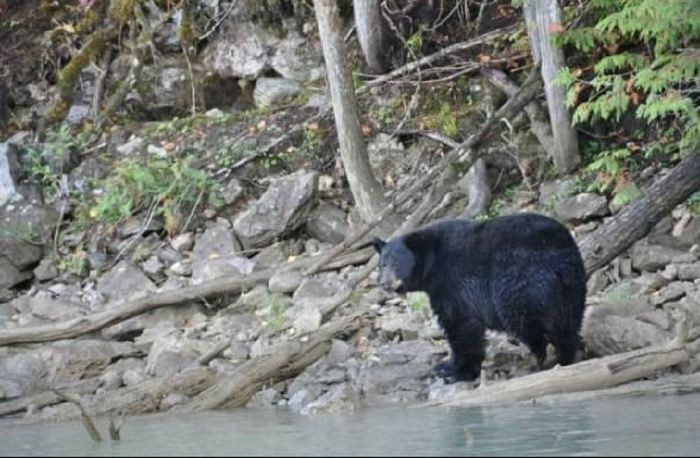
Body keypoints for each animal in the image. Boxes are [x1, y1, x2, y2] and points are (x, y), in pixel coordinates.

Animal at [374, 214, 588, 382]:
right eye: (383, 264)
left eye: (397, 264)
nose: (385, 283)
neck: (432, 263)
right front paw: (446, 367)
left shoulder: (451, 283)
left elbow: (460, 325)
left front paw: (456, 371)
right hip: (572, 286)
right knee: (566, 322)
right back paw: (567, 356)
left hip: (521, 281)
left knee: (528, 325)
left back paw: (538, 363)